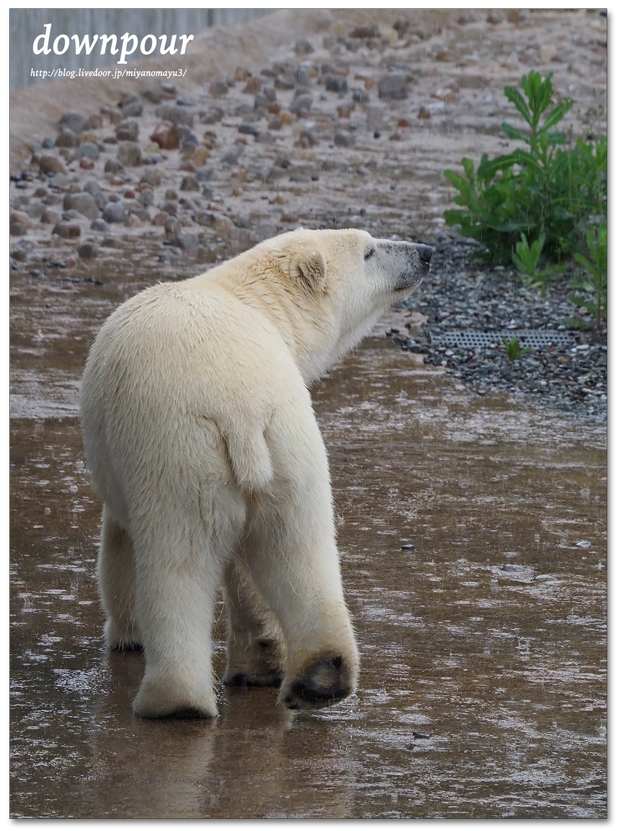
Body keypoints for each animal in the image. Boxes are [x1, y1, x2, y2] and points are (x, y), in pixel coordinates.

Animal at [81, 229, 432, 720]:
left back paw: (173, 702)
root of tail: (240, 408)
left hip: (176, 452)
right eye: (369, 249)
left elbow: (119, 545)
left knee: (177, 564)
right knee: (301, 547)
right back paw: (321, 675)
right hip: (290, 443)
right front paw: (263, 659)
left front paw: (126, 635)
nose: (426, 252)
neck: (256, 299)